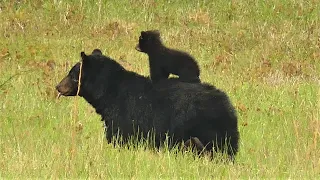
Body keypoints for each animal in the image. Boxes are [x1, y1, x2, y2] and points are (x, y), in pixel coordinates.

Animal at [56, 48, 239, 160]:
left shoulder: (125, 115)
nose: (57, 86)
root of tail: (227, 105)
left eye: (72, 74)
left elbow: (120, 137)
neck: (109, 91)